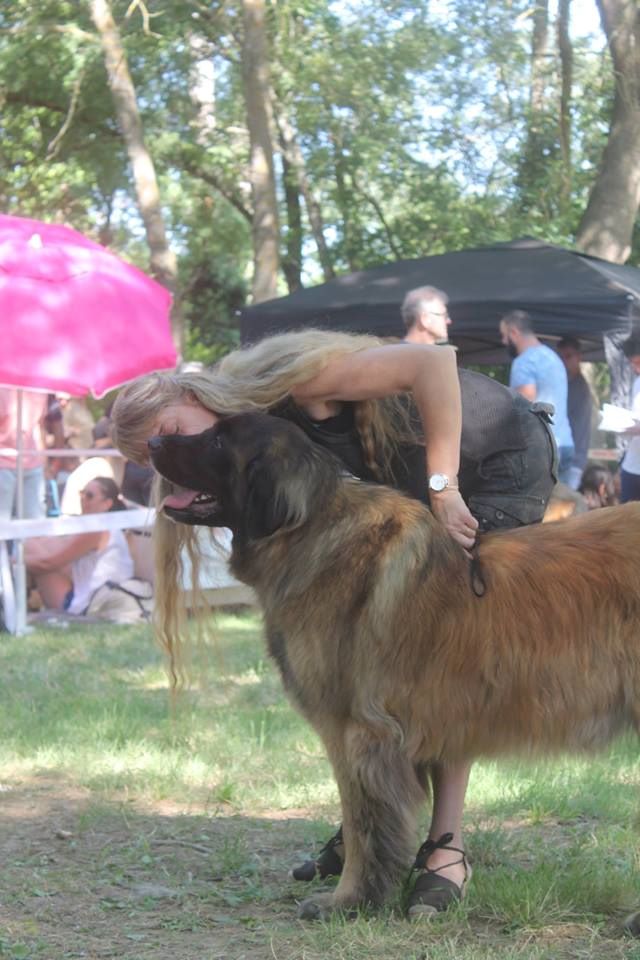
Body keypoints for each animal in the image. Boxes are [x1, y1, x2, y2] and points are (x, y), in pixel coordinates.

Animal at [149, 413, 640, 929]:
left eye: (218, 440)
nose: (154, 440)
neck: (310, 530)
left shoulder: (357, 734)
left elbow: (362, 826)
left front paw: (347, 901)